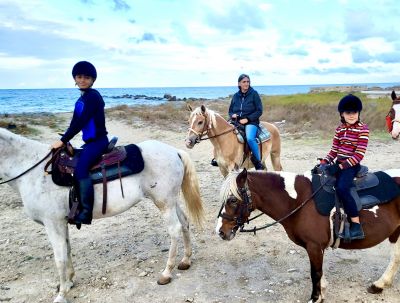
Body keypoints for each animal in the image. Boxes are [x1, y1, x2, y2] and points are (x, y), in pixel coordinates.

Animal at [0, 128, 205, 303]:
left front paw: (61, 294)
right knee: (184, 223)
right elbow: (67, 250)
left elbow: (60, 258)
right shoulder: (61, 223)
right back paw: (185, 260)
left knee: (174, 230)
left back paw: (166, 273)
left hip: (164, 204)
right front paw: (70, 281)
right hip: (171, 201)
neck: (35, 171)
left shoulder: (53, 224)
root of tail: (174, 151)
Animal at [217, 170, 400, 302]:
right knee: (396, 257)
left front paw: (315, 297)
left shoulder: (314, 246)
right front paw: (322, 292)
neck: (300, 201)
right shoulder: (316, 247)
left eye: (233, 200)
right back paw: (380, 285)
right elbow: (319, 271)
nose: (220, 231)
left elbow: (315, 273)